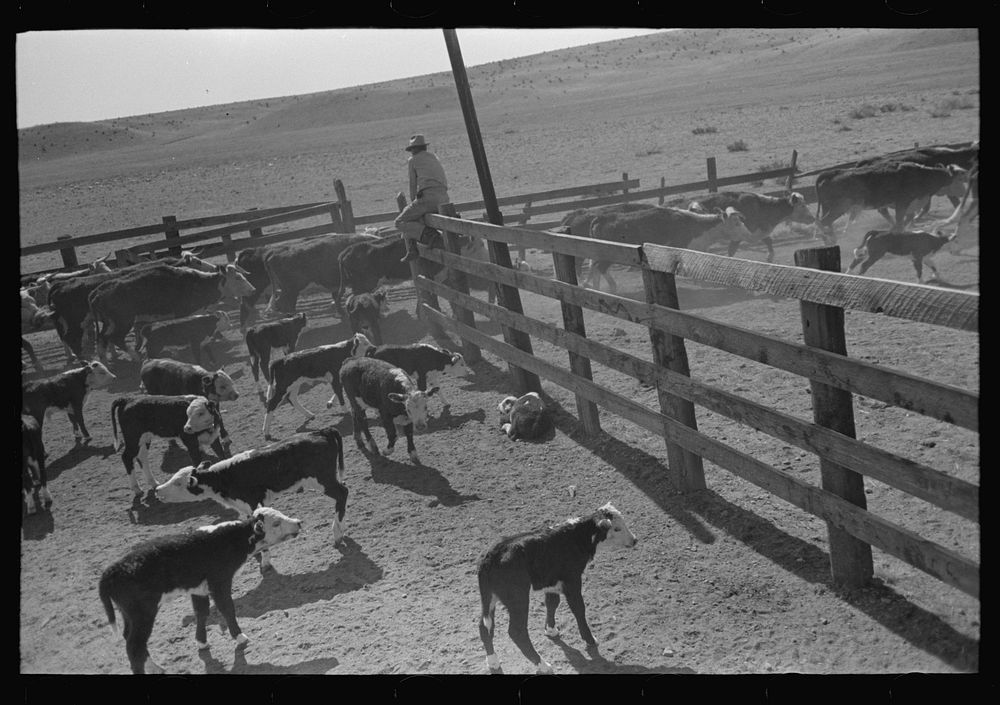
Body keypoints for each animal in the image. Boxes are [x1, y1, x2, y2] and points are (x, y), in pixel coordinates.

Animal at [97, 504, 300, 672]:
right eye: (276, 523)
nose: (298, 522)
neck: (230, 539)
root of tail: (111, 571)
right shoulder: (219, 582)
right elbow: (227, 608)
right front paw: (240, 637)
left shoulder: (198, 589)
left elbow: (201, 613)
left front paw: (202, 642)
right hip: (143, 612)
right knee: (134, 646)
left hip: (128, 613)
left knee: (129, 638)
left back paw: (155, 667)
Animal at [153, 424, 348, 572]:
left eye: (178, 483)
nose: (157, 490)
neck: (224, 477)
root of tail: (322, 431)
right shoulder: (245, 508)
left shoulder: (254, 504)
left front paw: (265, 563)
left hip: (322, 480)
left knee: (343, 493)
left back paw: (337, 533)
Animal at [474, 500, 636, 672]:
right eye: (616, 528)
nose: (634, 540)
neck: (575, 538)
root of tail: (490, 556)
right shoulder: (572, 580)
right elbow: (578, 609)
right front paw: (590, 639)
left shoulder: (551, 582)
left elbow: (552, 603)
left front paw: (551, 630)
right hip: (518, 599)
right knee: (517, 632)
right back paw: (543, 664)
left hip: (489, 598)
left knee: (485, 626)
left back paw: (493, 660)